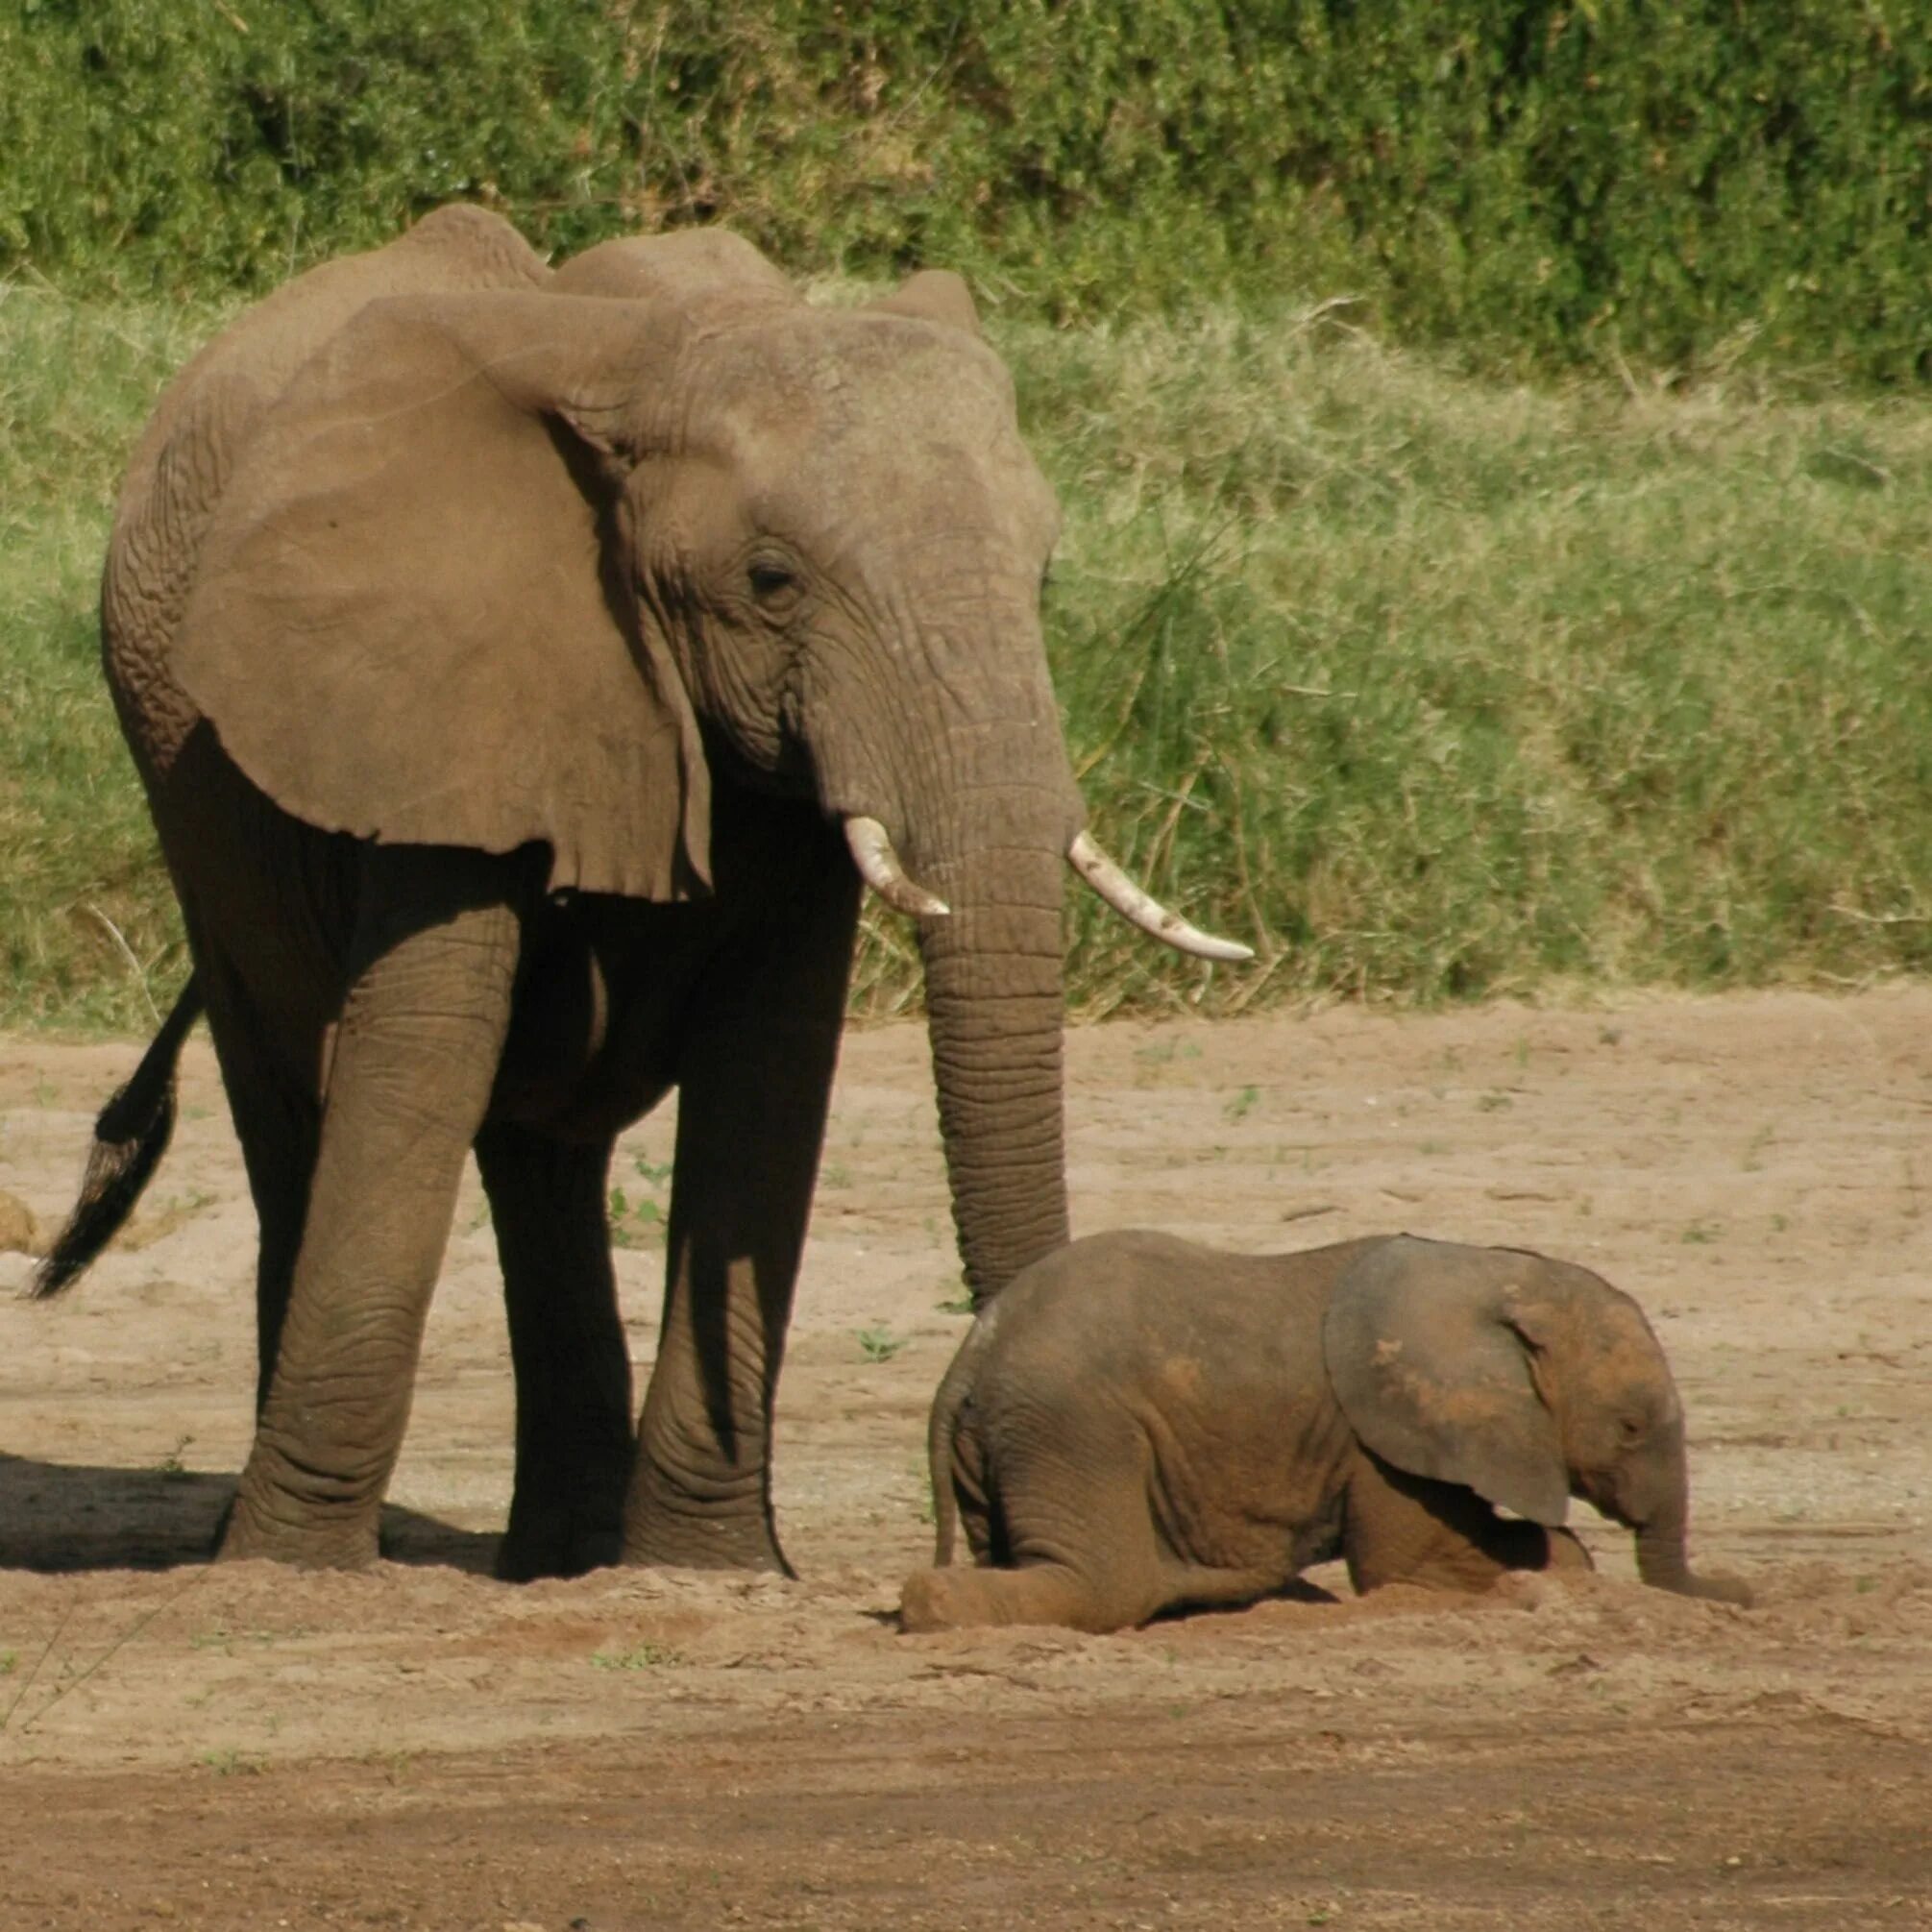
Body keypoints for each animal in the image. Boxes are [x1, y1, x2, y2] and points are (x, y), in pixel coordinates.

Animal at [45, 204, 1252, 1576]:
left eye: (1041, 580)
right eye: (772, 581)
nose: (991, 1529)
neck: (661, 361)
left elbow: (767, 1080)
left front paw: (710, 1569)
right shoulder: (436, 692)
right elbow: (419, 1063)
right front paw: (294, 1573)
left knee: (534, 1154)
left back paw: (559, 1558)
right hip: (195, 803)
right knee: (294, 1101)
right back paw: (269, 1546)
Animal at [904, 1236, 1753, 1630]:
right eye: (1630, 1426)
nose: (1741, 1593)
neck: (1492, 1275)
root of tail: (971, 1353)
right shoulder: (1384, 1435)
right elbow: (1408, 1567)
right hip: (1074, 1424)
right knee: (1102, 1581)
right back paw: (928, 1602)